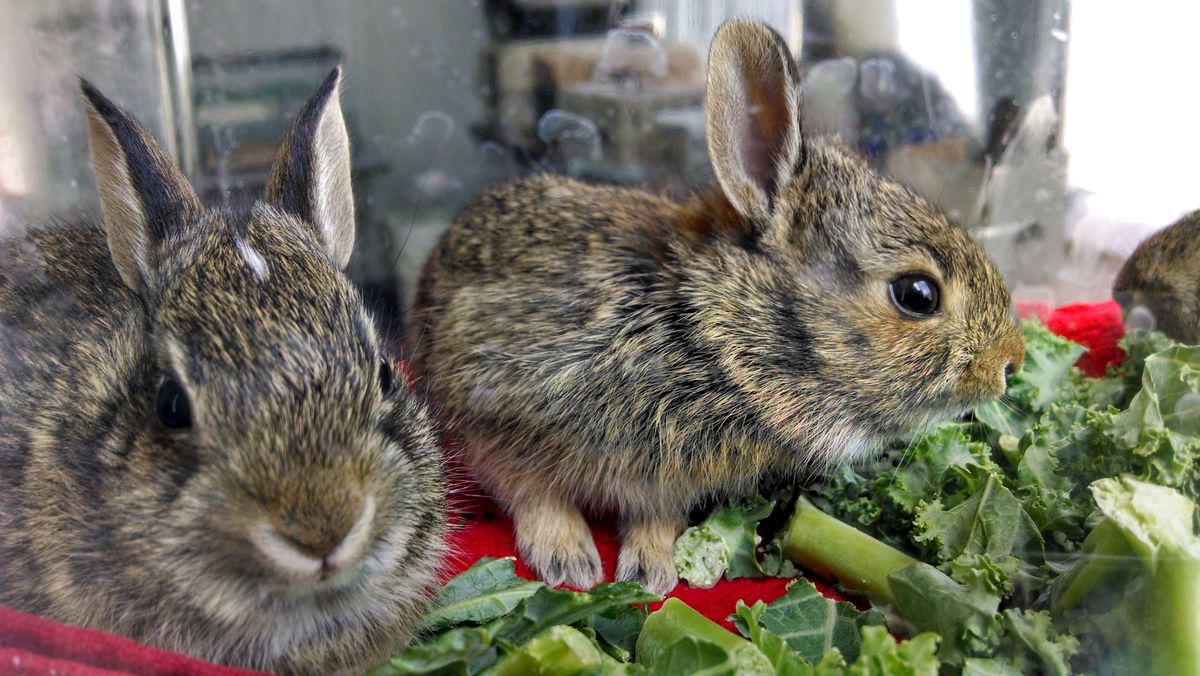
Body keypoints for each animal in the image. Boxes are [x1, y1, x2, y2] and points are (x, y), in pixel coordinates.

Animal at [410, 18, 1022, 595]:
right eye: (917, 295)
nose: (1009, 363)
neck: (712, 333)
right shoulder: (494, 408)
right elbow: (532, 491)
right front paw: (569, 560)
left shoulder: (663, 482)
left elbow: (655, 516)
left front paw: (650, 569)